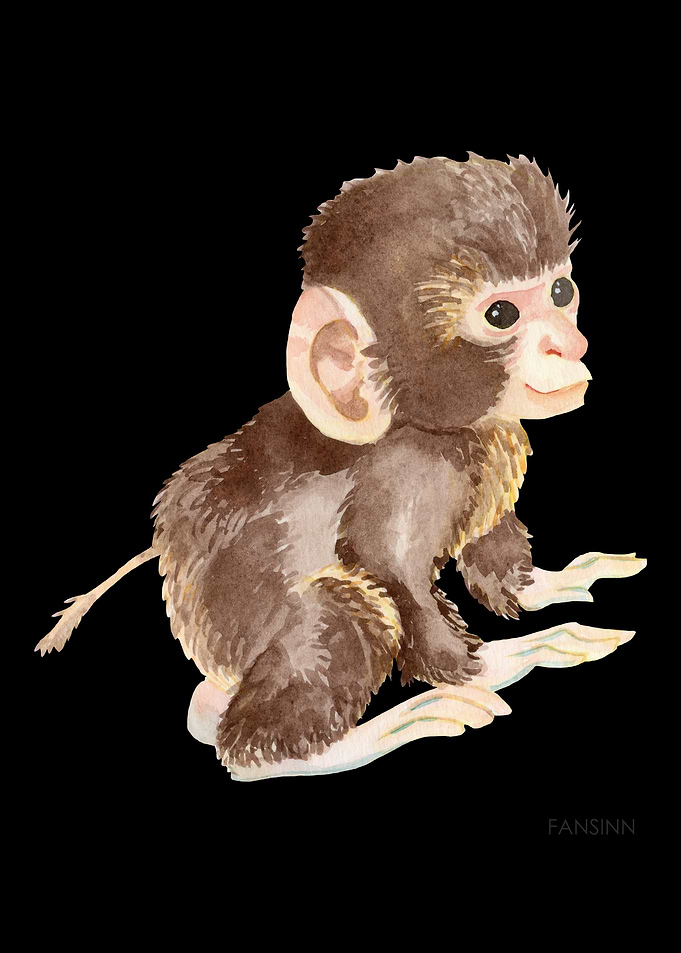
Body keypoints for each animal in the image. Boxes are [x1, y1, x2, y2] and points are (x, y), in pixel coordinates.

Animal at [36, 153, 646, 781]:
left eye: (561, 290)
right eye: (502, 314)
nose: (568, 345)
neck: (429, 425)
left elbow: (487, 541)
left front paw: (543, 585)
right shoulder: (409, 473)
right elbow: (390, 570)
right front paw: (502, 659)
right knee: (337, 616)